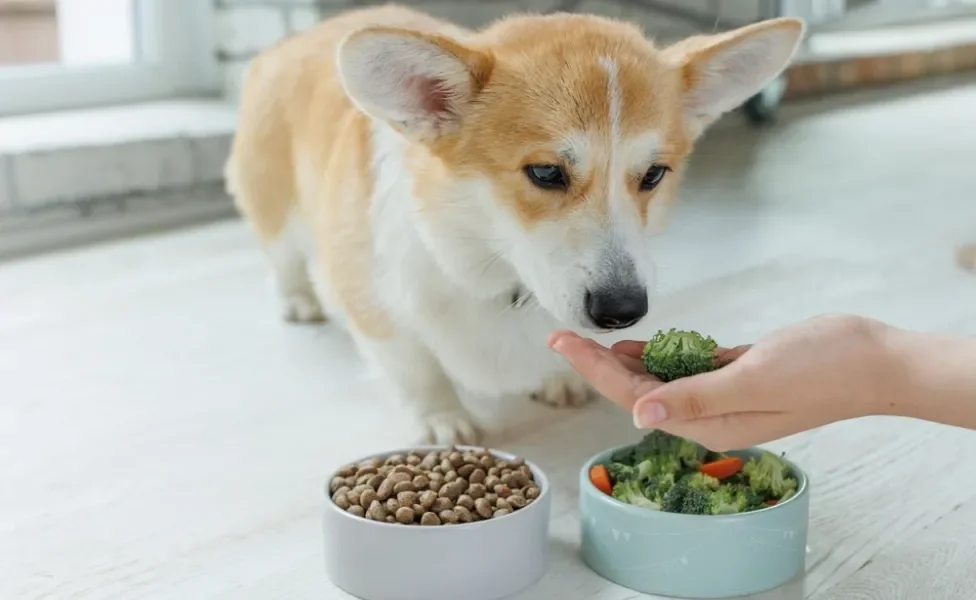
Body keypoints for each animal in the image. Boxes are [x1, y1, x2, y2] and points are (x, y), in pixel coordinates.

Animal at [225, 4, 804, 446]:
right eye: (546, 173)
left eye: (654, 175)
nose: (623, 312)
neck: (490, 263)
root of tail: (294, 38)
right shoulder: (374, 302)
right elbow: (416, 369)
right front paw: (444, 422)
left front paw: (557, 380)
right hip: (272, 202)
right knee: (281, 255)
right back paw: (297, 300)